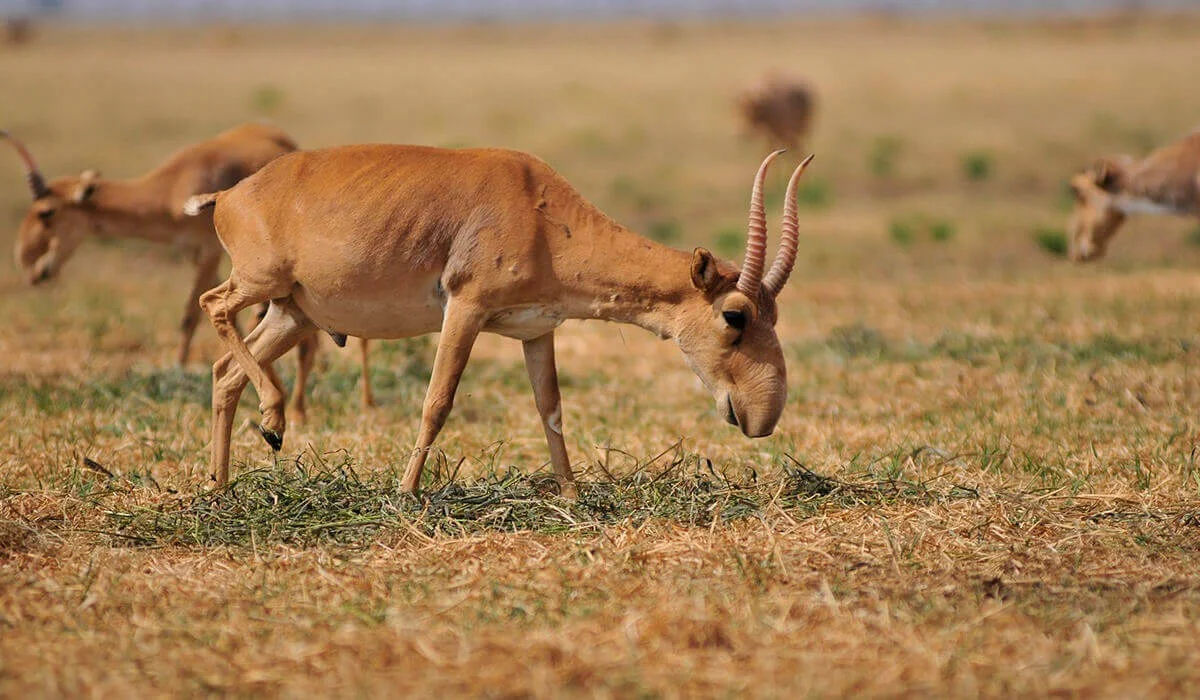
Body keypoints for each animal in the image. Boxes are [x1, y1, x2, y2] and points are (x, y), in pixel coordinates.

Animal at [2, 124, 374, 422]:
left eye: (46, 212)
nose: (30, 267)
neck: (172, 186)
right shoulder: (197, 256)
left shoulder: (208, 252)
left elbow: (190, 317)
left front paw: (180, 372)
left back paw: (309, 407)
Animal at [184, 145, 816, 494]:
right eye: (735, 315)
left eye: (774, 313)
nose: (762, 417)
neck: (540, 207)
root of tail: (230, 195)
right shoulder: (465, 310)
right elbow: (437, 401)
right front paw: (406, 494)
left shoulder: (537, 330)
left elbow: (551, 409)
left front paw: (572, 495)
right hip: (260, 286)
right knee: (213, 306)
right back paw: (272, 421)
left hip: (293, 314)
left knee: (223, 374)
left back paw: (221, 486)